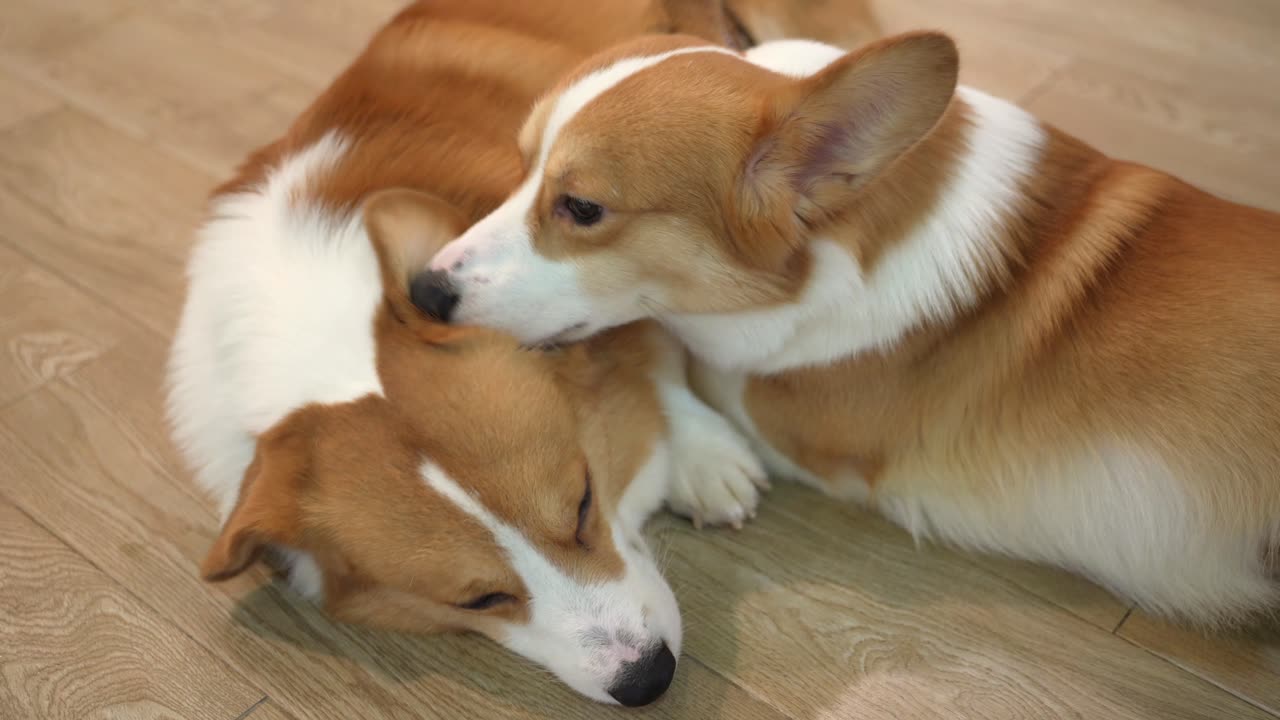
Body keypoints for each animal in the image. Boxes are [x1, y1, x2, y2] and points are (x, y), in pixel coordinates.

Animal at [417, 33, 1280, 620]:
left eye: (583, 207)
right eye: (519, 165)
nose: (424, 289)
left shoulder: (792, 414)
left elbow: (666, 347)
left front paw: (699, 457)